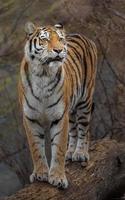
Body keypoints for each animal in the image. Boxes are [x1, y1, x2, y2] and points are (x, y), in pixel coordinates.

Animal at [18, 21, 97, 189]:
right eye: (45, 39)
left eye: (60, 39)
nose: (59, 50)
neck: (43, 74)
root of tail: (84, 36)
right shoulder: (30, 118)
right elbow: (36, 148)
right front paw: (40, 174)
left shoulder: (59, 117)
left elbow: (58, 147)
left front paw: (58, 178)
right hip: (71, 109)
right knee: (73, 131)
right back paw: (70, 153)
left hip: (85, 101)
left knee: (84, 129)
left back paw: (80, 153)